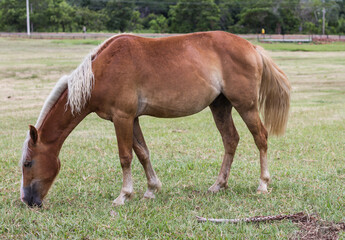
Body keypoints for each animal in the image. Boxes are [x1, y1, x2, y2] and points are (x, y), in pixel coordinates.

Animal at [20, 31, 288, 207]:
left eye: (28, 163)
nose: (27, 200)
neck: (101, 71)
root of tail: (252, 48)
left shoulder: (122, 117)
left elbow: (125, 157)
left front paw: (124, 195)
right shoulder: (131, 119)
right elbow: (142, 153)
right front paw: (151, 189)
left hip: (246, 106)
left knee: (261, 138)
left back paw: (263, 184)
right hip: (220, 106)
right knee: (231, 140)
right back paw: (218, 185)